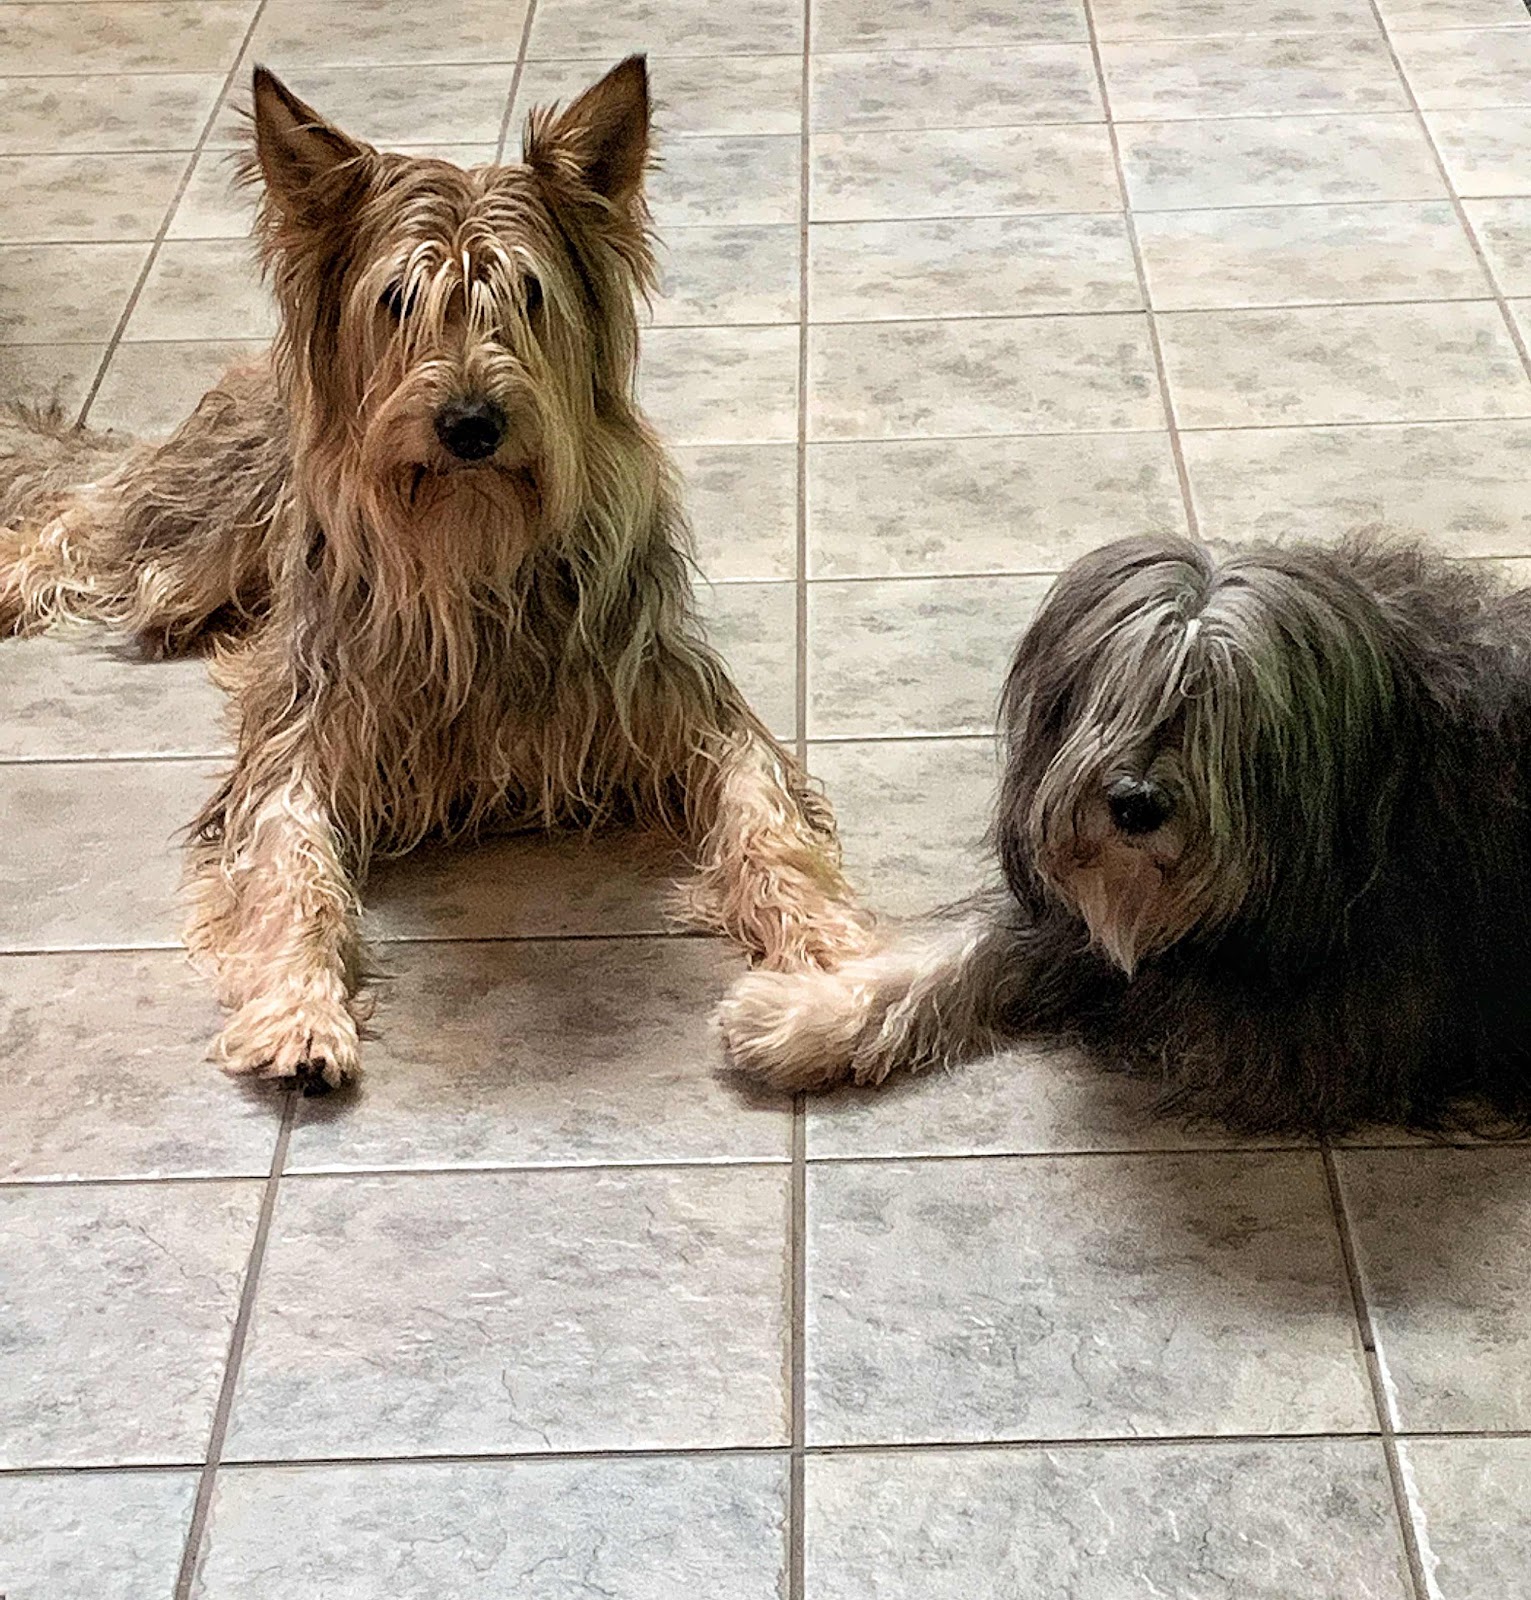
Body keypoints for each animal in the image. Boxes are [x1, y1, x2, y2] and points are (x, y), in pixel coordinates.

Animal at [0, 57, 866, 1089]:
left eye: (527, 294)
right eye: (398, 301)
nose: (469, 423)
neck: (472, 552)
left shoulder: (686, 708)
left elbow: (769, 824)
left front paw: (832, 964)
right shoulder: (300, 744)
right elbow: (289, 869)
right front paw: (299, 1011)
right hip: (188, 522)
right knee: (76, 516)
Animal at [720, 532, 1531, 1134]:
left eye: (1227, 713)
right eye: (1123, 692)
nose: (1134, 805)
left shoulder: (1319, 1031)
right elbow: (969, 953)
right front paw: (800, 1017)